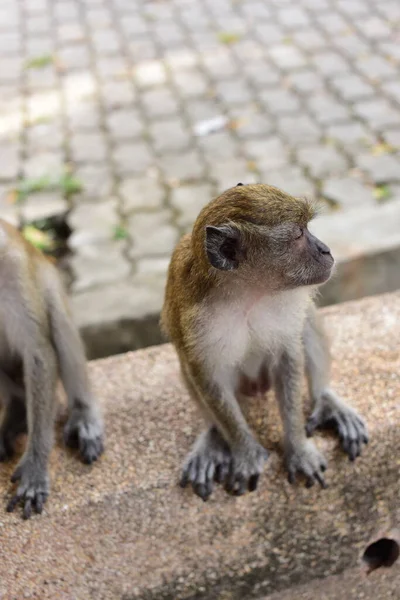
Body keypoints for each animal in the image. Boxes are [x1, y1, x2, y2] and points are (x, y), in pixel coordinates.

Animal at [0, 218, 104, 516]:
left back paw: (83, 414)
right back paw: (16, 410)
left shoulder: (13, 267)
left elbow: (39, 352)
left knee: (56, 313)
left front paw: (34, 469)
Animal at [161, 184, 368, 502]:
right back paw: (213, 436)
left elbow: (289, 356)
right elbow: (204, 373)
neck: (248, 293)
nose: (326, 249)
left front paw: (297, 447)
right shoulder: (196, 322)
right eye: (298, 234)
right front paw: (245, 453)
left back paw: (326, 399)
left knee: (307, 321)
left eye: (306, 228)